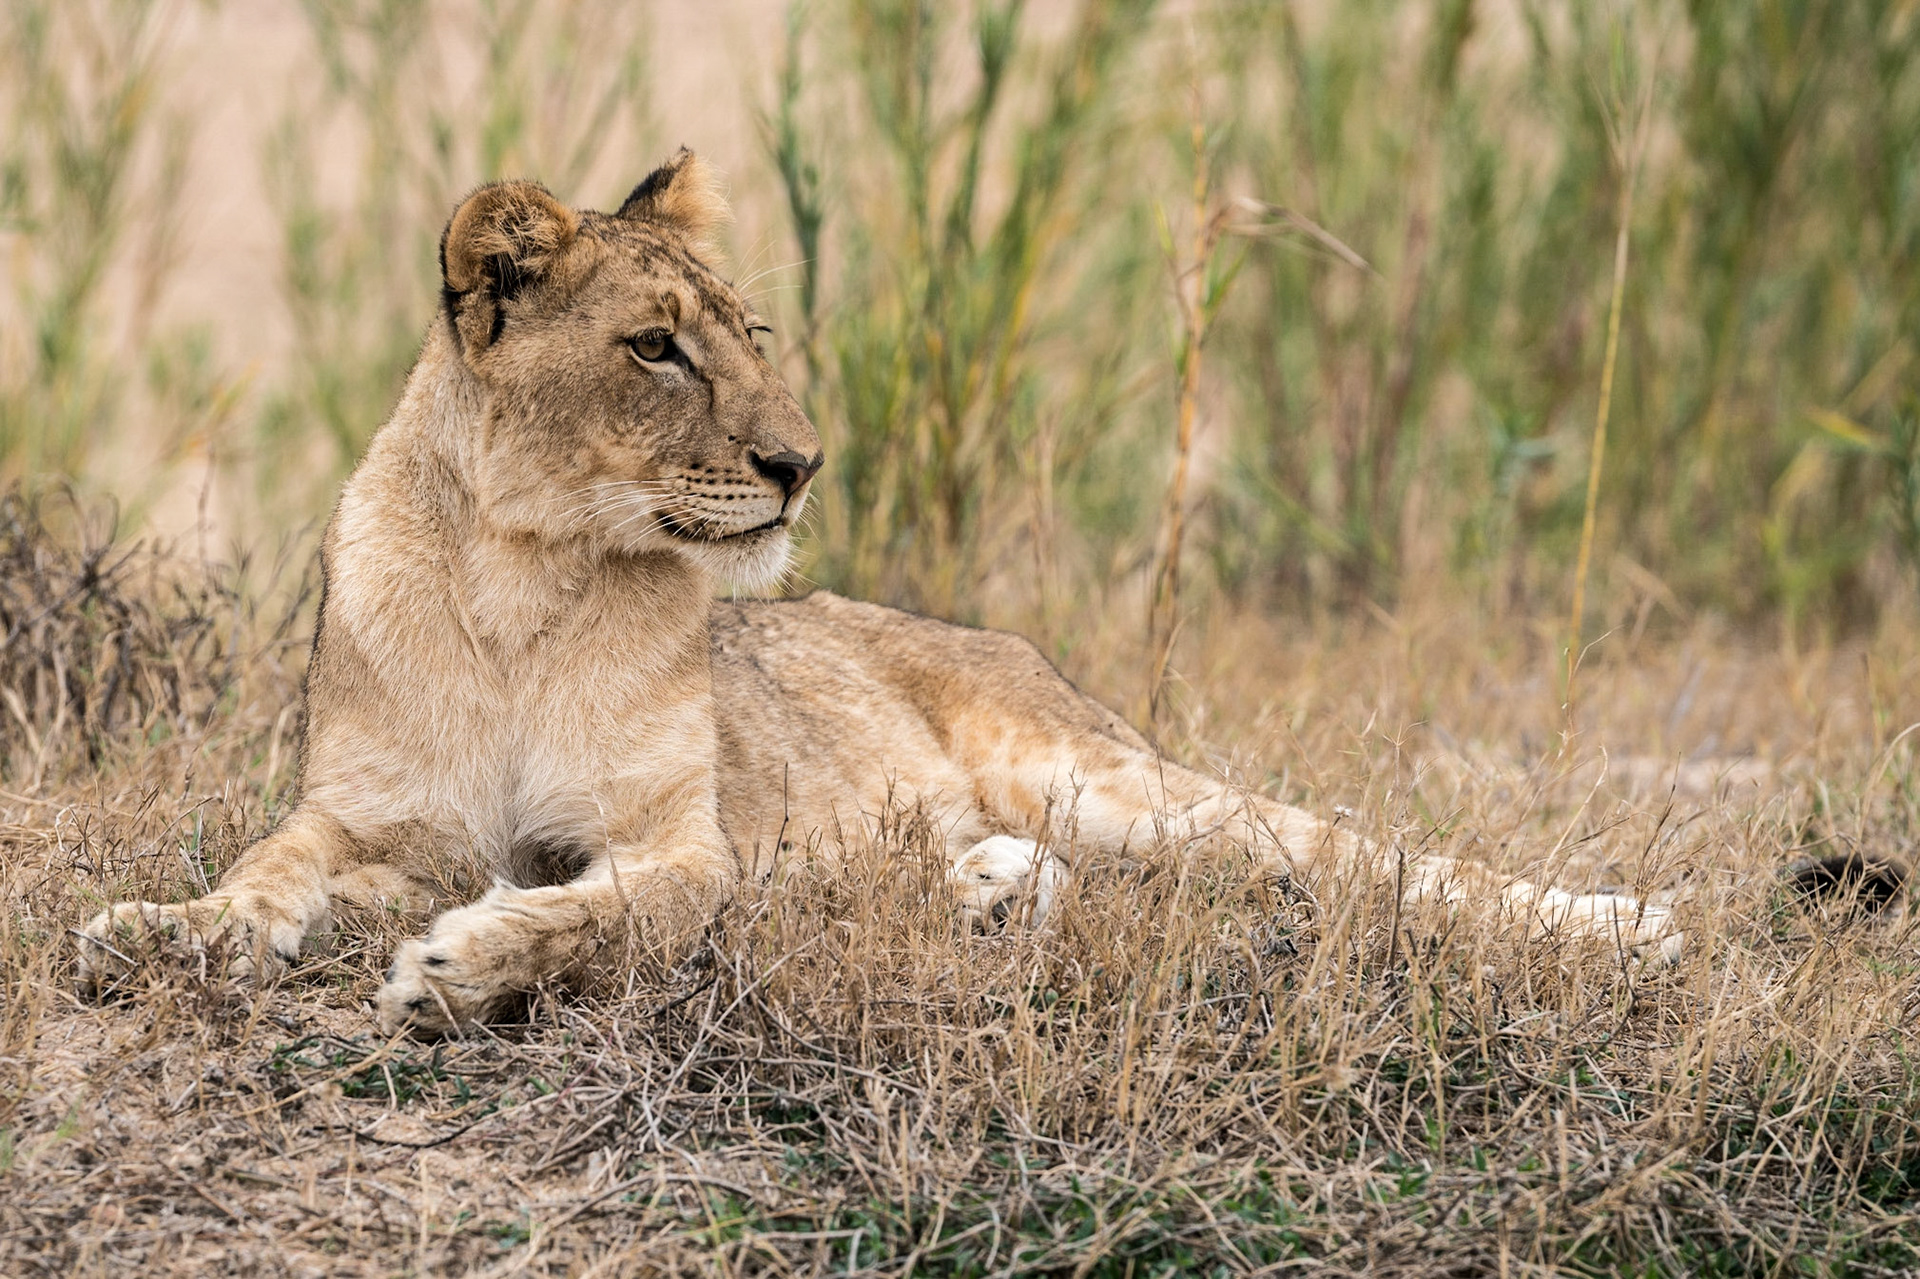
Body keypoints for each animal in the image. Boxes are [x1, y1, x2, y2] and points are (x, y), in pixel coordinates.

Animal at [77, 150, 1677, 1033]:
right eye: (655, 346)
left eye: (751, 332)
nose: (802, 462)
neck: (523, 579)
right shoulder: (362, 820)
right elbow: (263, 875)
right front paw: (159, 930)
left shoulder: (681, 840)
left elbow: (609, 913)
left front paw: (465, 964)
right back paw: (982, 888)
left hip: (1109, 775)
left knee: (1370, 858)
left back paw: (1625, 921)